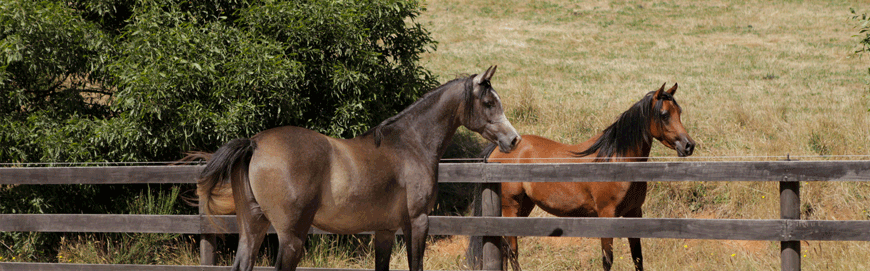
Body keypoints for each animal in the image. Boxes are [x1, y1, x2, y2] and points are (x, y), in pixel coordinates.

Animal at [189, 66, 516, 271]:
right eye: (489, 102)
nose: (513, 139)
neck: (410, 143)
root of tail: (255, 143)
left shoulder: (385, 230)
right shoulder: (417, 222)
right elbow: (416, 265)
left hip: (252, 229)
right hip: (291, 236)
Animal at [470, 83, 696, 271]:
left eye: (679, 112)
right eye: (664, 114)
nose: (688, 145)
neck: (615, 159)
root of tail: (498, 149)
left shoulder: (635, 213)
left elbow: (637, 258)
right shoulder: (606, 214)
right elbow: (607, 260)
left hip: (523, 207)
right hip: (511, 206)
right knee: (512, 250)